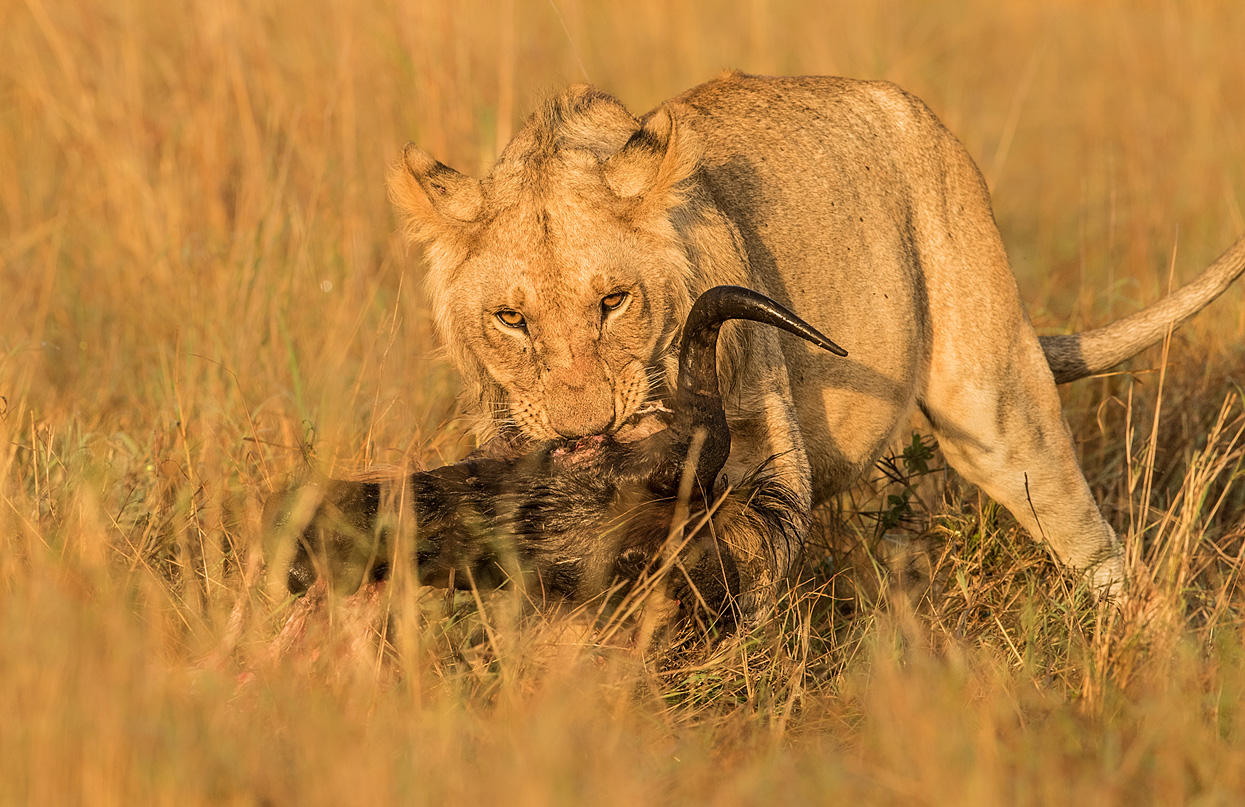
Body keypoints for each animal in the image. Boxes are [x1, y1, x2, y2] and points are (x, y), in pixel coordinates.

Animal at [385, 72, 1245, 615]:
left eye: (612, 301)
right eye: (510, 318)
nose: (582, 429)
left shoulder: (767, 452)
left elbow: (737, 577)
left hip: (995, 405)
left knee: (1096, 547)